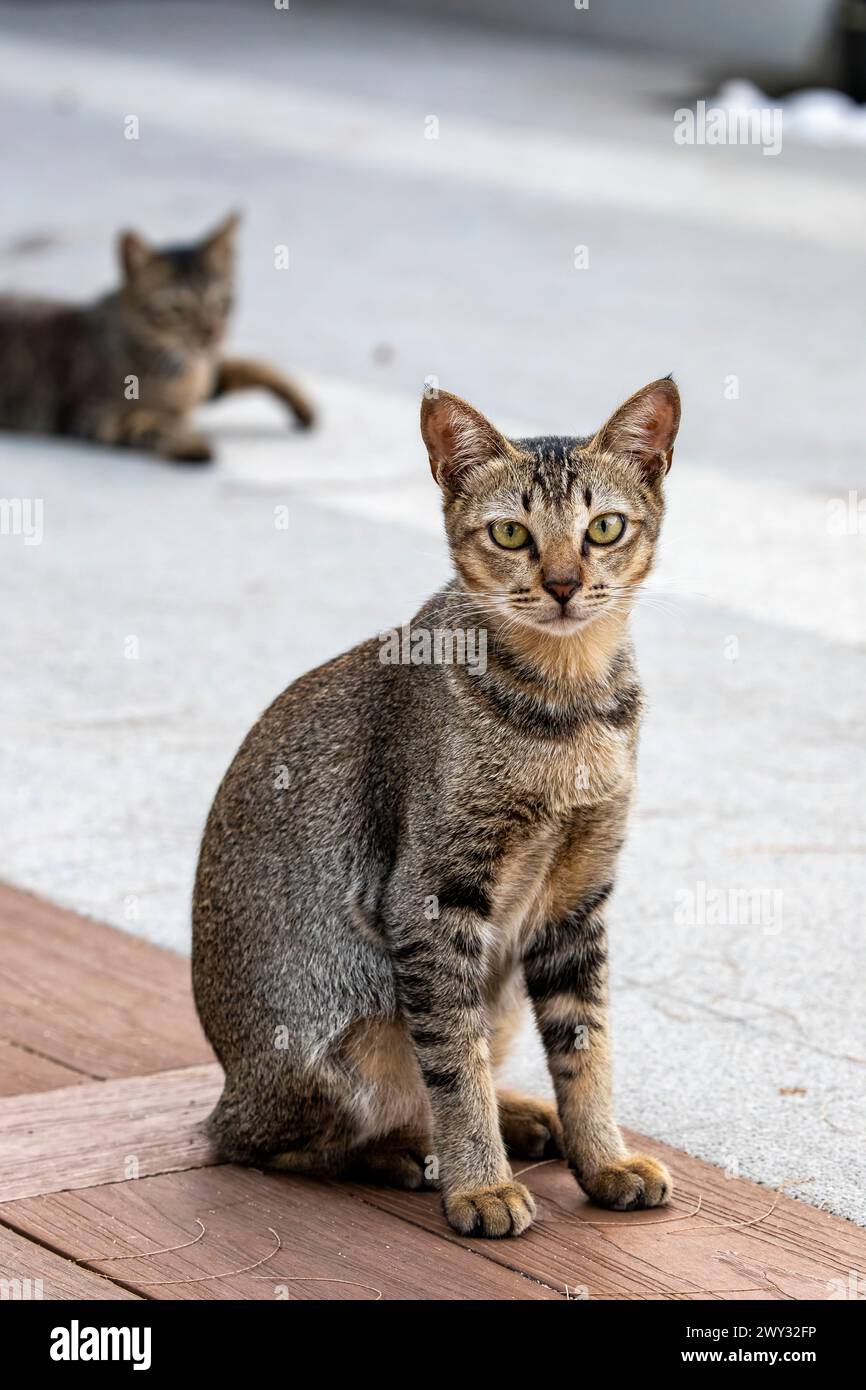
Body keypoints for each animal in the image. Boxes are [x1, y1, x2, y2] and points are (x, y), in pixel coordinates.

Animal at [0, 211, 315, 461]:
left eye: (221, 301)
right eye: (177, 309)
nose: (212, 334)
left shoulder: (209, 374)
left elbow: (253, 366)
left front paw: (303, 405)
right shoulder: (93, 415)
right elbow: (149, 421)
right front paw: (190, 443)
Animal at [193, 375, 681, 1234]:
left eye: (605, 528)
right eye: (513, 534)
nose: (562, 585)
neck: (566, 708)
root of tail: (229, 1080)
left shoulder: (577, 900)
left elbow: (586, 1046)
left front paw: (605, 1160)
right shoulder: (431, 903)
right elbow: (454, 1067)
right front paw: (480, 1184)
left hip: (499, 983)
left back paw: (523, 1118)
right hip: (341, 1041)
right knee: (259, 1140)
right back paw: (408, 1156)